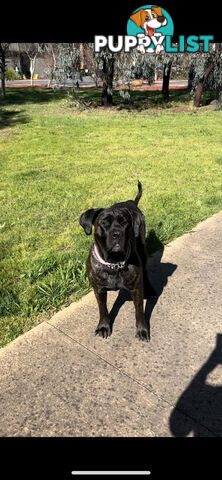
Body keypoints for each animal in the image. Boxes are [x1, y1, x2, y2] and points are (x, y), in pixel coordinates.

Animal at [79, 180, 154, 342]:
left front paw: (142, 330)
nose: (117, 234)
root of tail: (131, 202)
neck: (114, 263)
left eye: (125, 222)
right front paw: (103, 326)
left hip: (143, 251)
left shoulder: (136, 290)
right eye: (103, 223)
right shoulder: (99, 290)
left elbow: (139, 311)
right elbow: (103, 309)